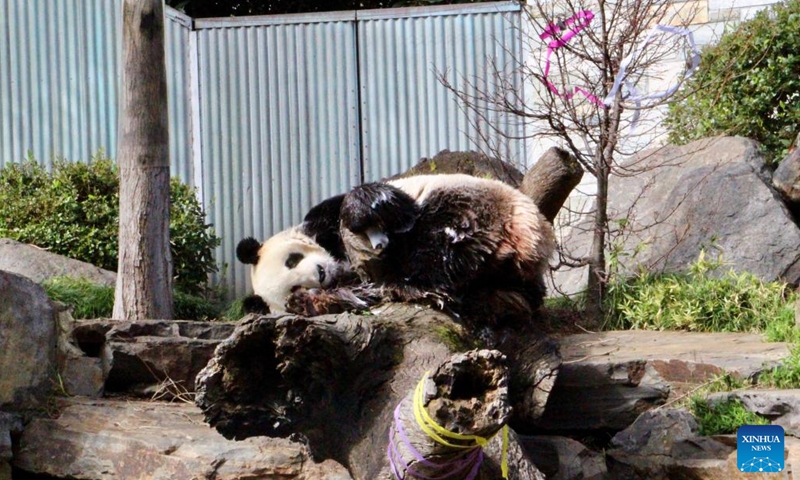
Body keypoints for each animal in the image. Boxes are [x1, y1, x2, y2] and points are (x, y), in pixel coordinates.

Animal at [234, 172, 552, 322]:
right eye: (293, 286)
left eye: (292, 259)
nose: (322, 275)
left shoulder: (323, 222)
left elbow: (348, 206)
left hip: (470, 203)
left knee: (434, 234)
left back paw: (413, 283)